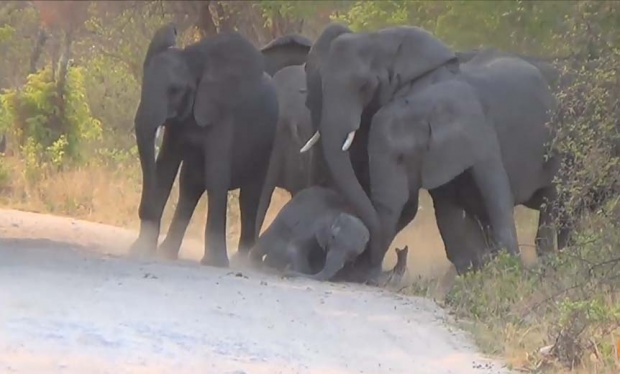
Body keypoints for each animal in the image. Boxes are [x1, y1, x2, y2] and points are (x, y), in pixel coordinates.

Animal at [130, 22, 280, 266]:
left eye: (175, 90)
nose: (144, 211)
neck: (194, 63)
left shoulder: (222, 114)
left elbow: (217, 174)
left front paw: (215, 263)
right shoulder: (177, 127)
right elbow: (166, 169)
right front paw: (140, 251)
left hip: (268, 140)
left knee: (250, 196)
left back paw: (242, 263)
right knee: (190, 188)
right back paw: (167, 253)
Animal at [249, 186, 410, 282]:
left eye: (353, 253)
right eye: (333, 237)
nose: (286, 273)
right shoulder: (312, 226)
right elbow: (296, 247)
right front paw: (296, 269)